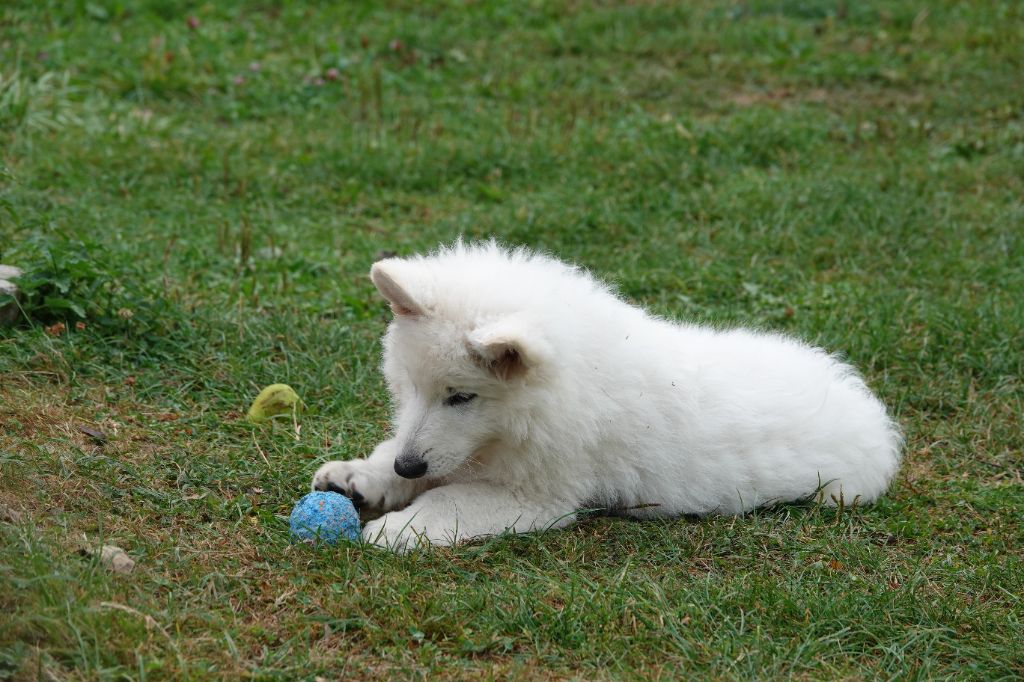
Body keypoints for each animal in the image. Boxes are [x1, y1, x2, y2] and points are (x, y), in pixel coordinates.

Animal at [309, 241, 897, 548]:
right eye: (409, 388)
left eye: (461, 398)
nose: (408, 467)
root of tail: (864, 403)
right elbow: (405, 456)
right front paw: (360, 477)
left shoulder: (536, 496)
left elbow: (447, 501)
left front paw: (397, 527)